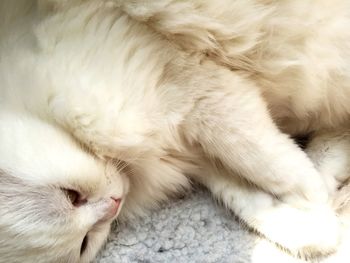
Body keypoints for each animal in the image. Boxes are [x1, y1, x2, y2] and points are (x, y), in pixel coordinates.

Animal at [2, 0, 350, 263]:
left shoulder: (195, 92)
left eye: (71, 196)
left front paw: (318, 204)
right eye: (85, 243)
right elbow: (247, 198)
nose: (114, 204)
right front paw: (314, 229)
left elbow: (272, 165)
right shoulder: (194, 153)